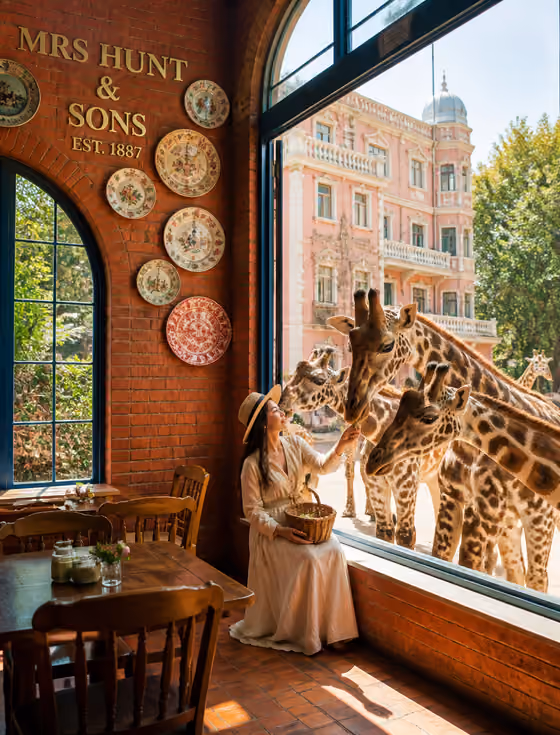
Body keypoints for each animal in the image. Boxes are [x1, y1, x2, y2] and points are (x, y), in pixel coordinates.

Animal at [279, 347, 442, 548]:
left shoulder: (407, 485)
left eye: (319, 380)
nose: (282, 404)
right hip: (434, 477)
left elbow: (406, 536)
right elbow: (384, 533)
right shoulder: (377, 484)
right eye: (295, 372)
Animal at [328, 290, 560, 590]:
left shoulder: (498, 512)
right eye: (351, 343)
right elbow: (448, 557)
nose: (352, 407)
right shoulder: (458, 498)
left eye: (387, 345)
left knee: (534, 577)